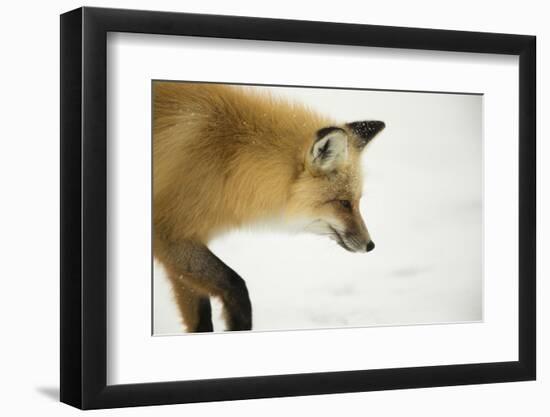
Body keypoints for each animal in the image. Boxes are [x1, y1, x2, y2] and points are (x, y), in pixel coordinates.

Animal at [153, 82, 386, 332]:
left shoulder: (181, 247)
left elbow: (200, 319)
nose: (371, 245)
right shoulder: (169, 235)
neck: (229, 159)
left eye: (357, 201)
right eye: (344, 202)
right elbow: (236, 286)